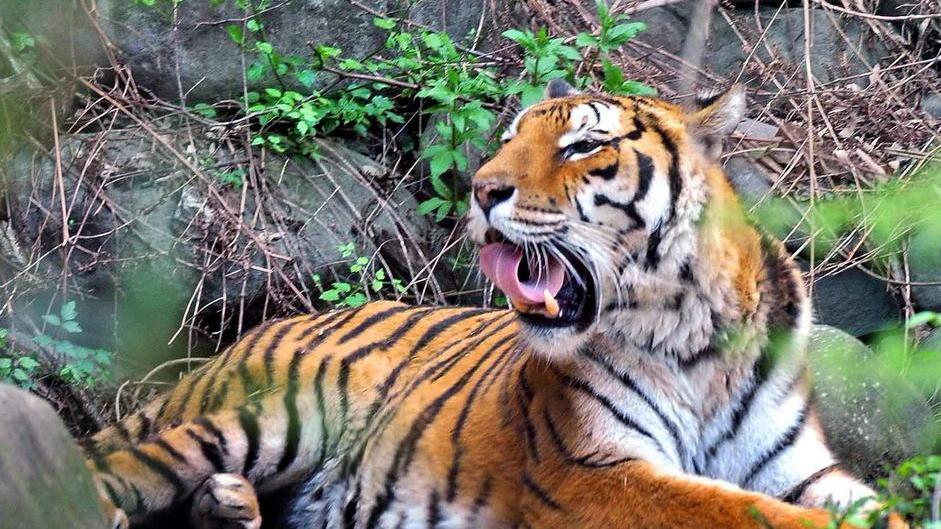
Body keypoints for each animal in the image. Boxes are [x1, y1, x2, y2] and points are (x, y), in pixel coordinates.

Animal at [84, 79, 907, 529]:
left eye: (583, 147)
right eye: (510, 140)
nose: (481, 190)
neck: (693, 336)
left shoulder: (798, 468)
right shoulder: (593, 469)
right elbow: (739, 510)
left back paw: (233, 506)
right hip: (264, 419)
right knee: (120, 466)